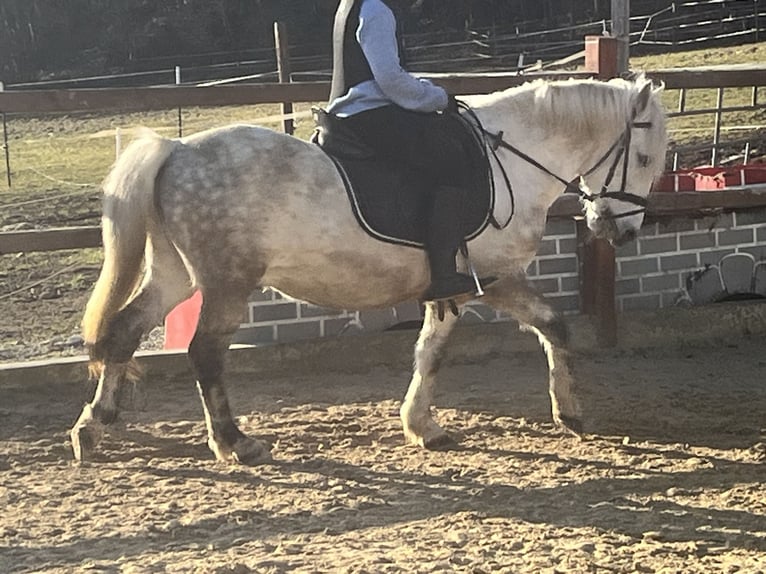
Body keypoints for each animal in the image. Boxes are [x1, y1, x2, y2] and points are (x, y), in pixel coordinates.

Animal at [70, 75, 667, 464]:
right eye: (643, 159)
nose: (622, 232)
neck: (512, 158)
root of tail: (175, 150)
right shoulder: (487, 280)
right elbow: (522, 330)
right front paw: (566, 413)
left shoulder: (463, 287)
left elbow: (459, 345)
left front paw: (426, 427)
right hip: (227, 285)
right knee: (204, 353)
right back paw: (235, 443)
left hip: (176, 275)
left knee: (124, 332)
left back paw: (93, 428)